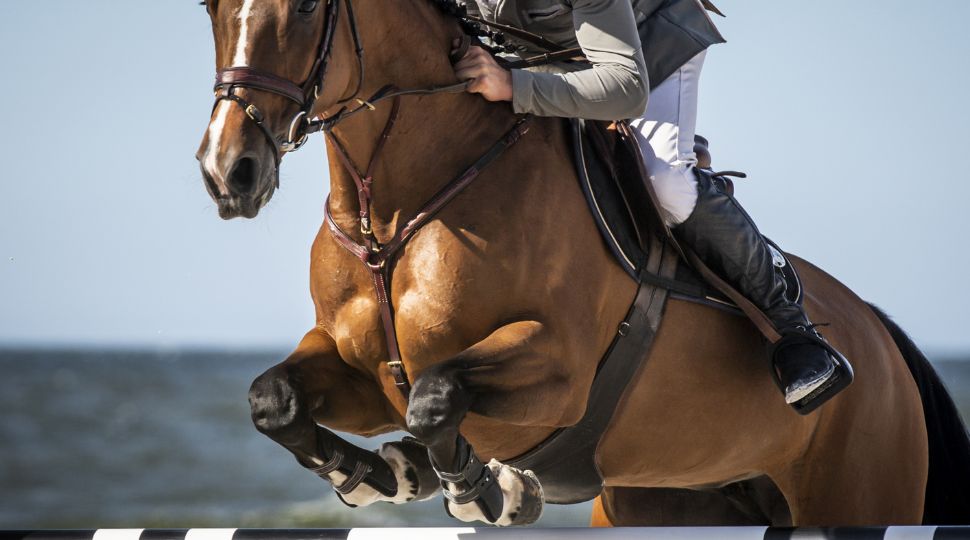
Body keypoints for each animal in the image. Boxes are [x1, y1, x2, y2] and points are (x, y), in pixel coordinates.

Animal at [194, 0, 970, 526]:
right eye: (210, 9)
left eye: (303, 9)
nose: (227, 171)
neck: (393, 212)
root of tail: (880, 338)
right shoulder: (361, 371)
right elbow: (275, 399)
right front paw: (378, 474)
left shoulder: (556, 371)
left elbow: (437, 397)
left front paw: (487, 490)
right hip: (669, 497)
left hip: (856, 486)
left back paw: (809, 361)